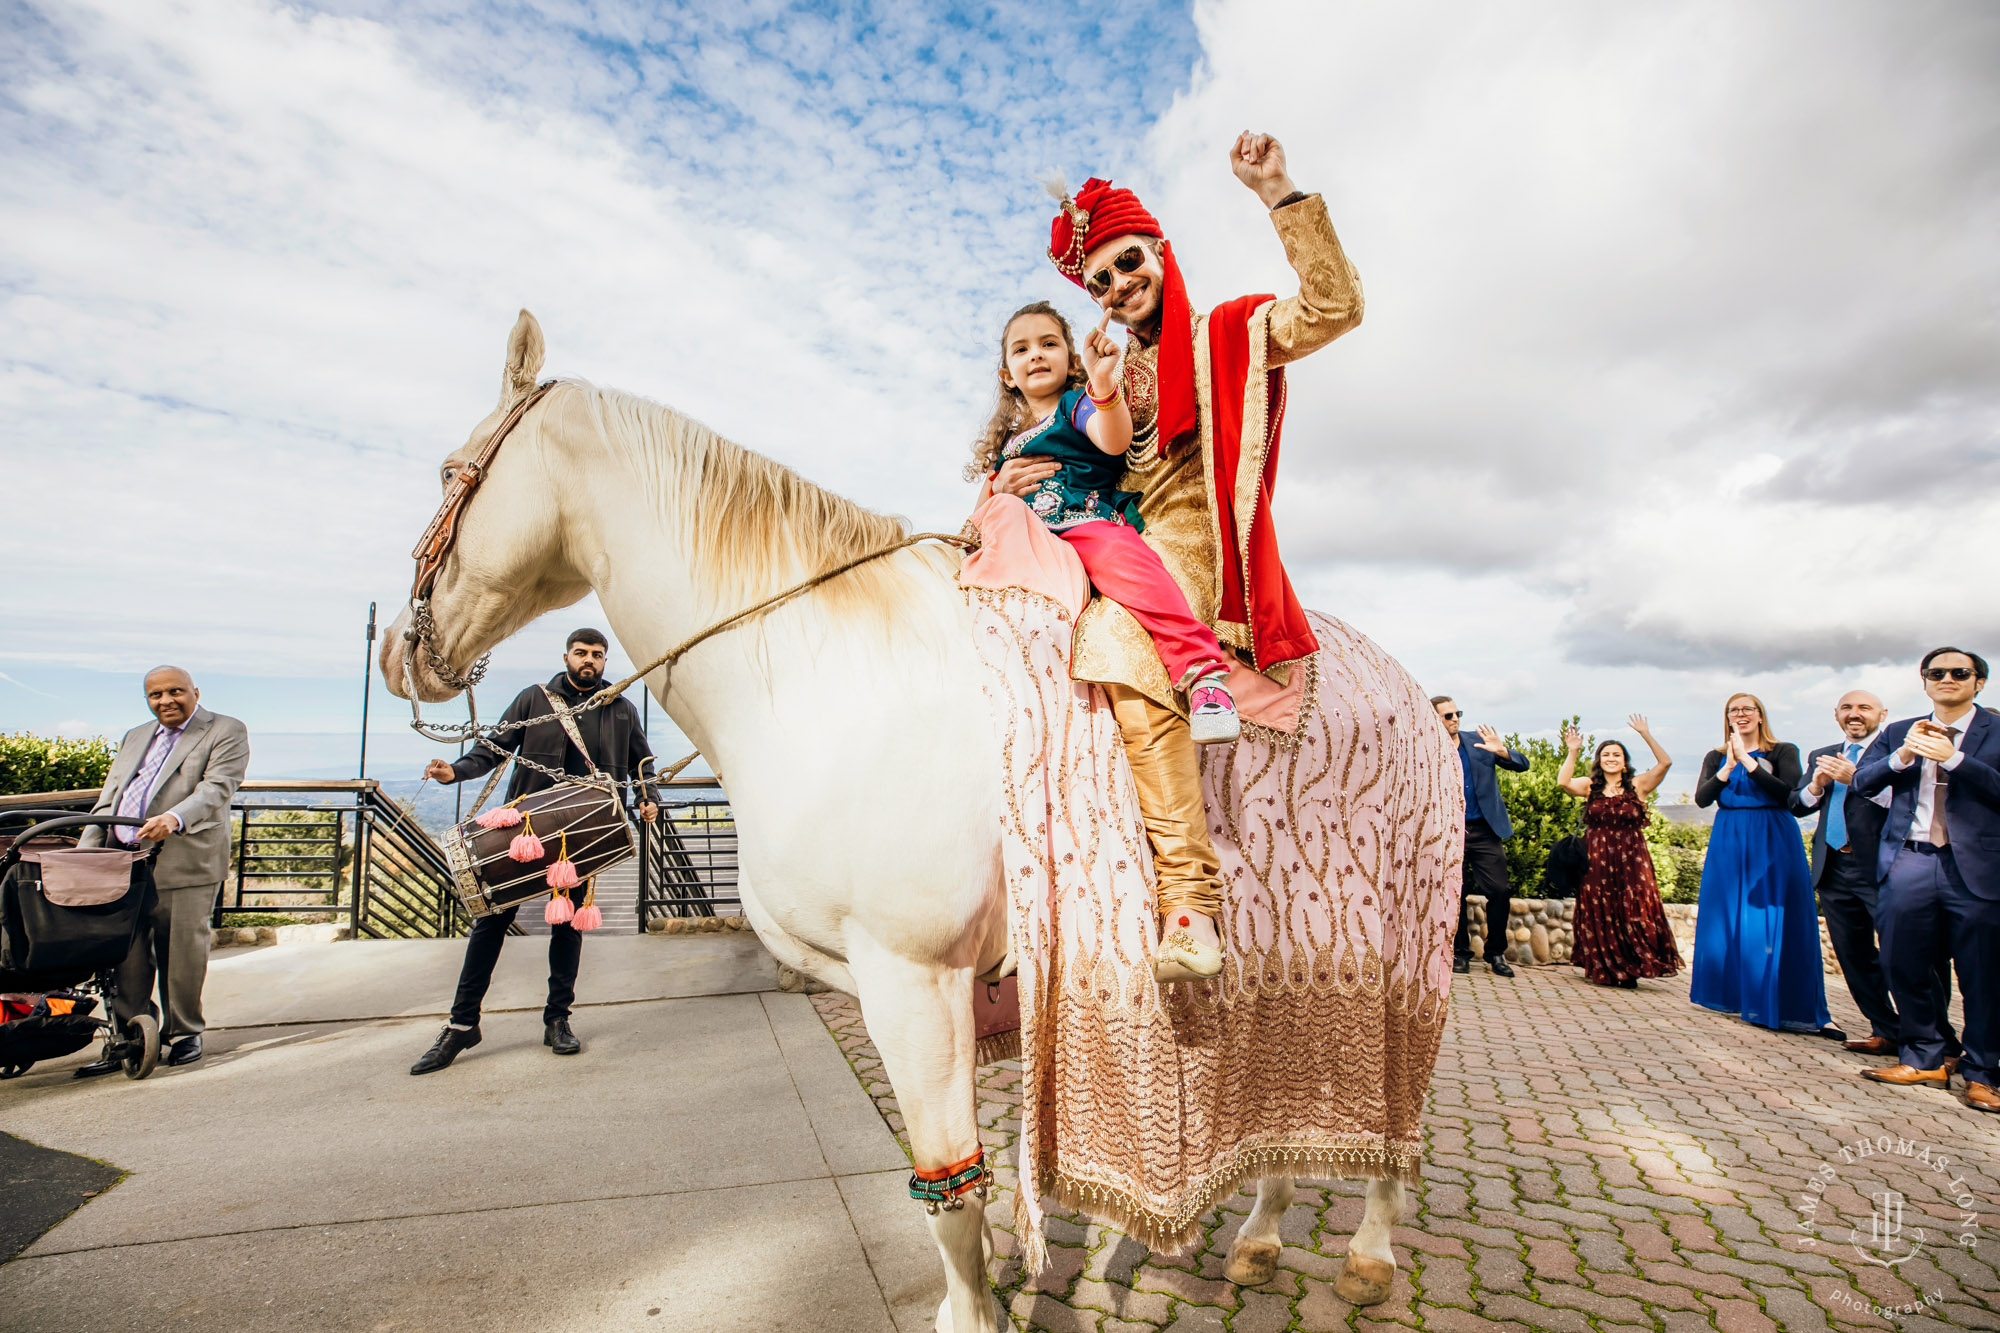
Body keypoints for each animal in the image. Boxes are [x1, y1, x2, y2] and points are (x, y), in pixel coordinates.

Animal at [382, 308, 1416, 1320]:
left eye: (448, 470)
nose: (398, 650)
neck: (827, 665)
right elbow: (958, 1199)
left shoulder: (916, 981)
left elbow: (950, 1193)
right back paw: (1263, 1232)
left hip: (1399, 931)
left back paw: (1366, 1247)